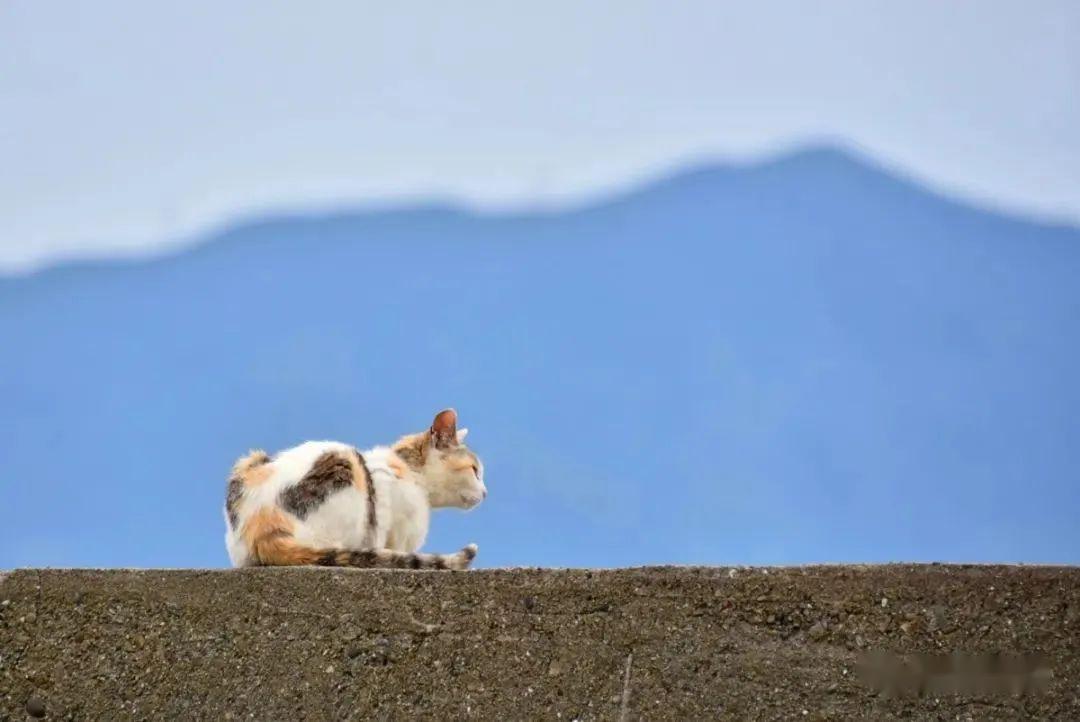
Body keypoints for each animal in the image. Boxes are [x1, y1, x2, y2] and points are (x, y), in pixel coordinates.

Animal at [223, 410, 486, 569]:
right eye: (474, 469)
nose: (485, 493)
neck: (410, 472)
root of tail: (262, 530)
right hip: (350, 468)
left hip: (249, 461)